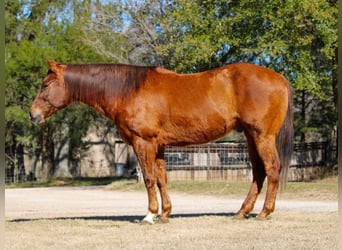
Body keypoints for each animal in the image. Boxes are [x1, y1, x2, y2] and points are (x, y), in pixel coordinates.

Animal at [29, 61, 292, 225]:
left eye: (45, 85)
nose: (33, 114)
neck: (127, 90)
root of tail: (279, 78)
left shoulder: (143, 142)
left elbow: (148, 178)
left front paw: (149, 215)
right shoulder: (159, 146)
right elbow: (162, 178)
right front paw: (165, 214)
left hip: (262, 136)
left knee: (272, 169)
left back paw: (264, 213)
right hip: (251, 136)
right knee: (259, 172)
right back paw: (242, 212)